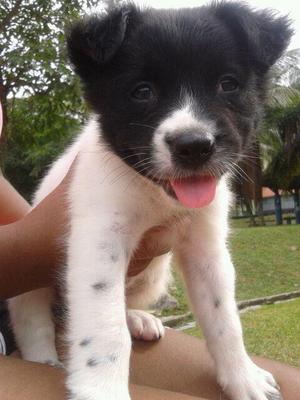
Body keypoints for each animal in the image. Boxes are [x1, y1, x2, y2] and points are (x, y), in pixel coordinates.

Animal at [8, 3, 290, 400]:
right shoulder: (100, 242)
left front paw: (243, 378)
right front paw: (102, 391)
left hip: (152, 275)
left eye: (227, 84)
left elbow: (224, 318)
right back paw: (43, 358)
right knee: (31, 317)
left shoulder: (206, 247)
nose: (194, 146)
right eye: (142, 92)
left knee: (124, 301)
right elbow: (105, 329)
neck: (157, 194)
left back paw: (138, 318)